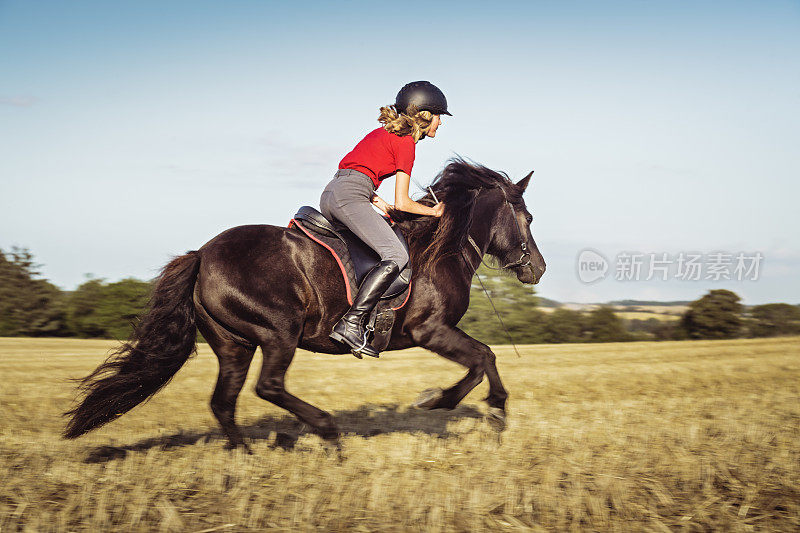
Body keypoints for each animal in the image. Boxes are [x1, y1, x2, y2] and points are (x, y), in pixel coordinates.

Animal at [65, 159, 548, 448]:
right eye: (526, 217)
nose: (538, 269)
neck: (441, 245)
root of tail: (201, 255)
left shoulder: (436, 332)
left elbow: (484, 357)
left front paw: (480, 408)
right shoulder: (431, 330)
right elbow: (483, 358)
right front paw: (455, 404)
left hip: (233, 344)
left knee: (224, 401)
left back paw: (243, 458)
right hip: (278, 331)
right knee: (268, 386)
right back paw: (327, 430)